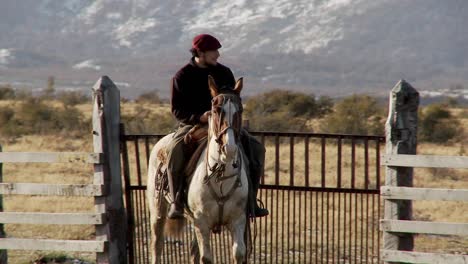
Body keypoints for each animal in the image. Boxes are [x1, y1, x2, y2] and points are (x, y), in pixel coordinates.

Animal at [147, 76, 249, 264]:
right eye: (215, 110)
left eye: (240, 110)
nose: (229, 148)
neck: (220, 176)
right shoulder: (201, 222)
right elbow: (206, 258)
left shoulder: (238, 220)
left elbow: (238, 253)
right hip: (158, 210)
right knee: (157, 244)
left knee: (193, 250)